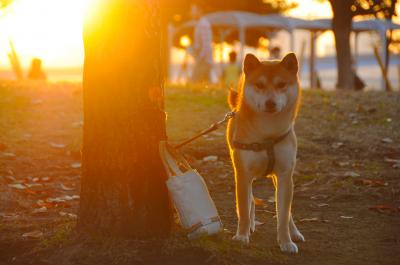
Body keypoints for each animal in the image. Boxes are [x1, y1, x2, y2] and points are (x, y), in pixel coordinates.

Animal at [228, 52, 304, 253]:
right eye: (260, 85)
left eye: (281, 84)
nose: (270, 103)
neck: (267, 133)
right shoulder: (243, 174)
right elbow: (243, 210)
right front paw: (242, 235)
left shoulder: (285, 175)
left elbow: (283, 215)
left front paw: (286, 241)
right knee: (250, 202)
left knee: (287, 211)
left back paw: (294, 232)